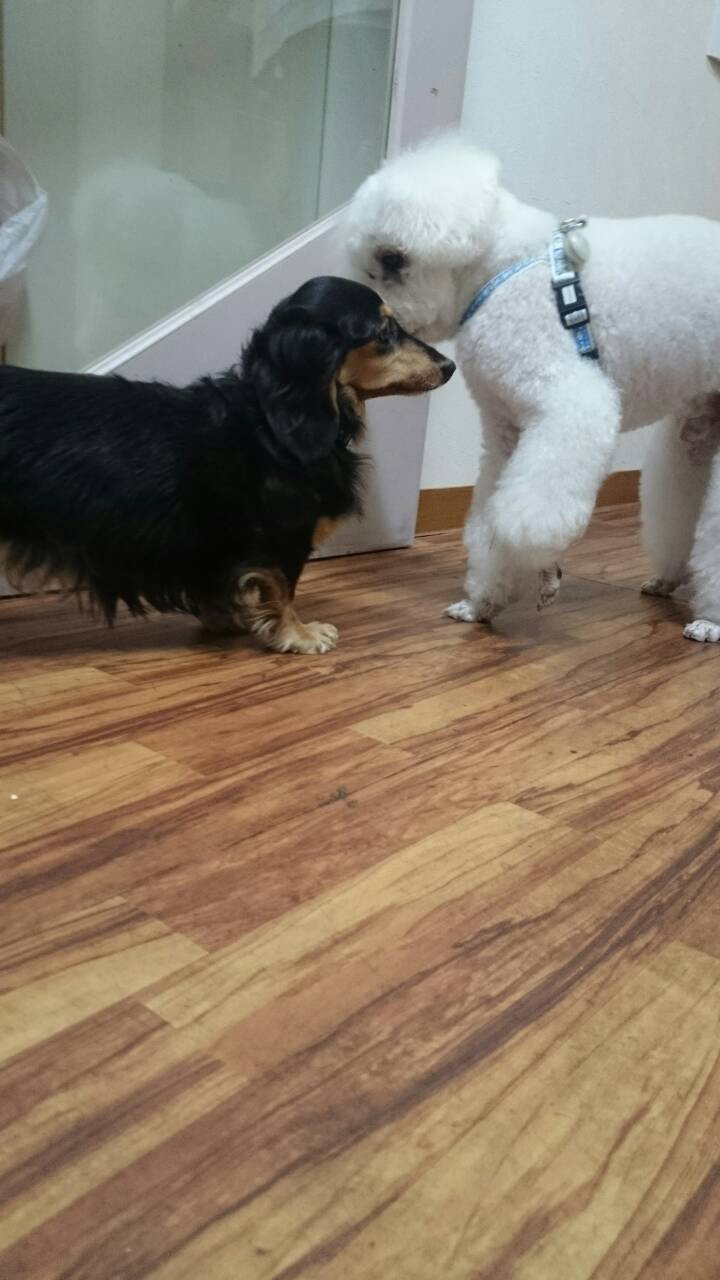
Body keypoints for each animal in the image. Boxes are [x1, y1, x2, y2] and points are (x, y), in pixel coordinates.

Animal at [0, 275, 453, 653]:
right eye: (384, 332)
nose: (449, 366)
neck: (269, 421)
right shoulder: (282, 539)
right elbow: (284, 590)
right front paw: (299, 635)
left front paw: (230, 619)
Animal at [342, 133, 720, 641]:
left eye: (392, 258)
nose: (375, 320)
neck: (502, 269)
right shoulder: (507, 431)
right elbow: (490, 515)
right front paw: (483, 601)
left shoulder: (569, 409)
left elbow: (524, 517)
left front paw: (542, 565)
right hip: (699, 423)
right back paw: (669, 579)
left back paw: (709, 619)